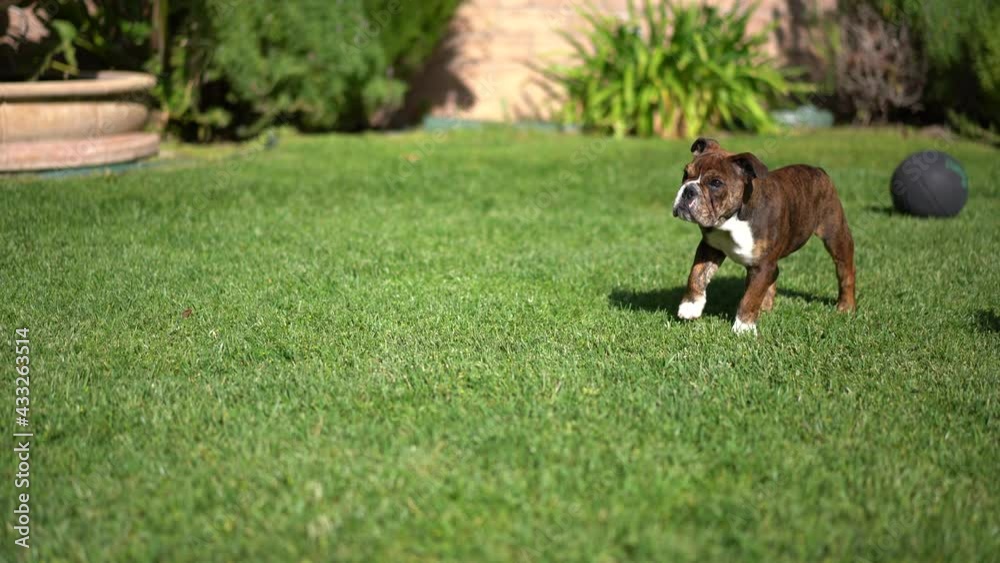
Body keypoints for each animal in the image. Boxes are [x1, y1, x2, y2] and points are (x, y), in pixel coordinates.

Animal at [672, 138, 856, 334]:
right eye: (685, 174)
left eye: (715, 183)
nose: (688, 190)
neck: (731, 221)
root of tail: (818, 170)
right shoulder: (710, 247)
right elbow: (696, 275)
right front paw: (690, 306)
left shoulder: (762, 265)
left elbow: (751, 296)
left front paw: (743, 327)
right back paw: (765, 306)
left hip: (835, 235)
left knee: (845, 270)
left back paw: (846, 306)